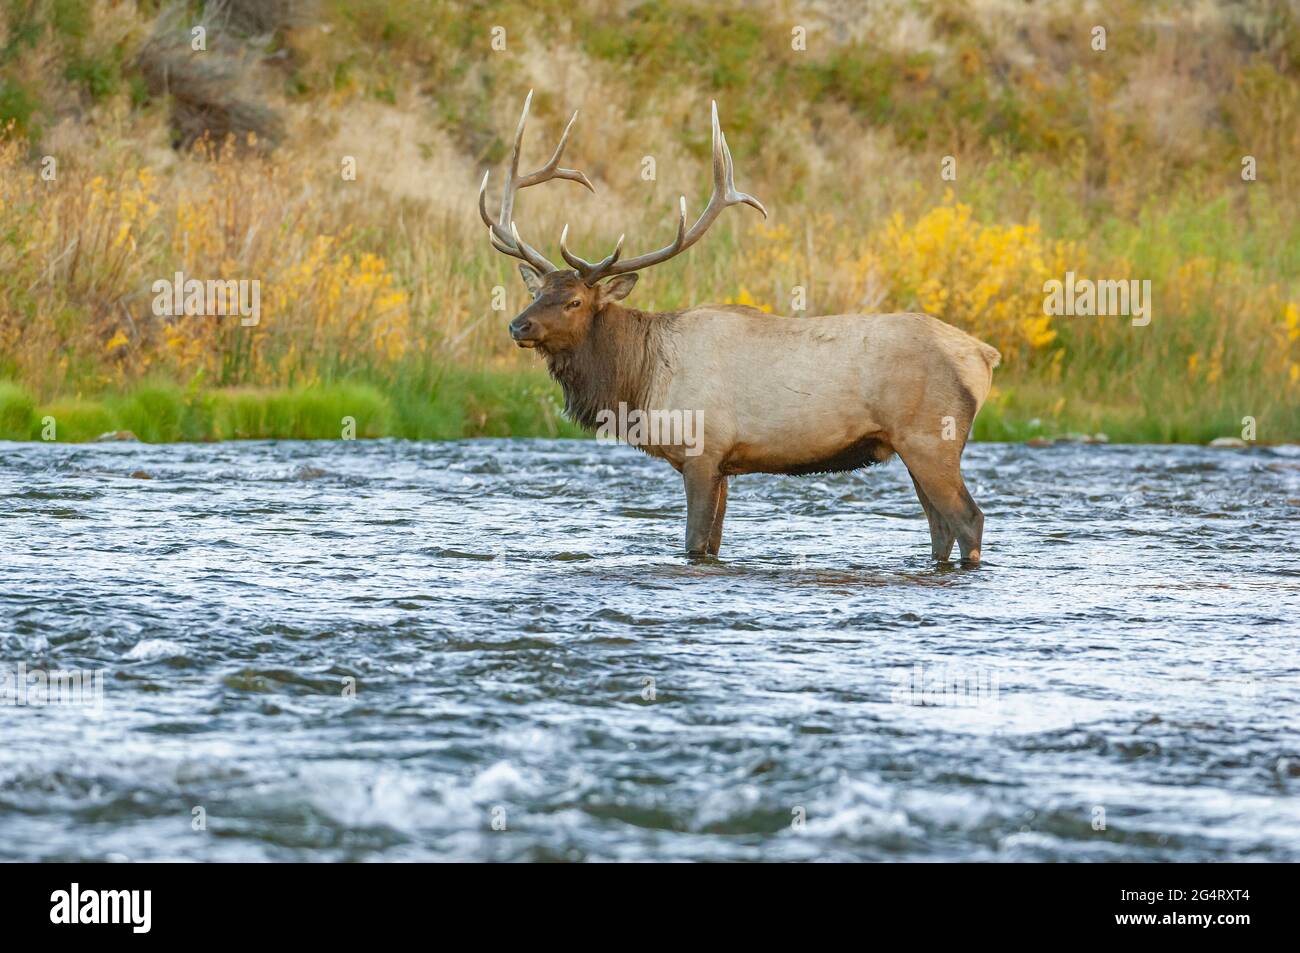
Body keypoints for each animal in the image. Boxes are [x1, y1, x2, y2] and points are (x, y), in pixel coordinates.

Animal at [483, 92, 998, 561]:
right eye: (536, 293)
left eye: (574, 301)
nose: (518, 326)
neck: (641, 381)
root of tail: (984, 354)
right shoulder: (726, 465)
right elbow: (713, 543)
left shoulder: (702, 449)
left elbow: (694, 543)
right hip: (913, 447)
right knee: (939, 528)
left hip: (932, 439)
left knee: (968, 518)